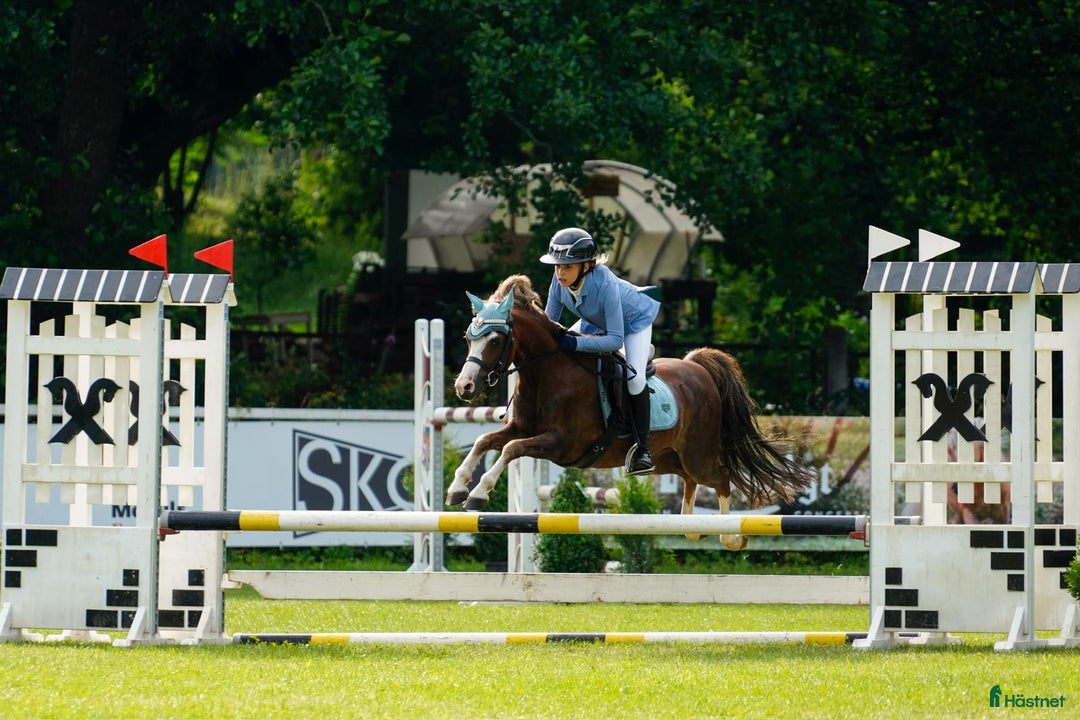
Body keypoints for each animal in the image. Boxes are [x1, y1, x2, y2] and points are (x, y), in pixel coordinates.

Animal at [447, 274, 813, 550]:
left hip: (697, 452)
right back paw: (693, 526)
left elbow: (510, 449)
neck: (546, 372)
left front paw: (477, 494)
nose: (464, 387)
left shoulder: (560, 443)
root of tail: (697, 367)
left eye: (495, 340)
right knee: (690, 479)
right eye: (467, 338)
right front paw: (457, 488)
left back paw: (730, 536)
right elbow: (485, 441)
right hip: (668, 457)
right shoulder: (523, 428)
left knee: (720, 476)